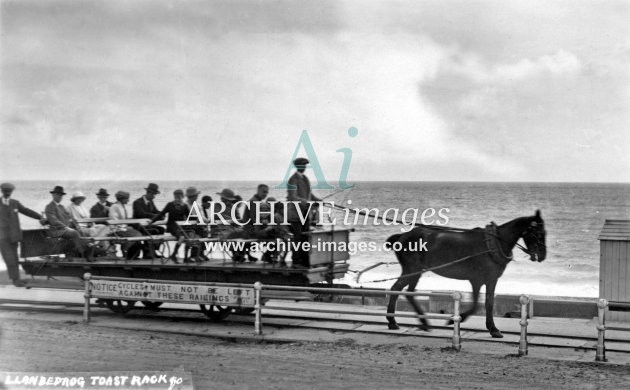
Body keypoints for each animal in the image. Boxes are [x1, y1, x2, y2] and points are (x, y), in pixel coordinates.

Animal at [386, 210, 548, 338]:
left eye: (544, 233)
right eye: (538, 234)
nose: (543, 256)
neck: (493, 244)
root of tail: (403, 236)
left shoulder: (490, 280)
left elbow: (488, 303)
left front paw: (492, 328)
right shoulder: (477, 280)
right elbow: (478, 305)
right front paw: (457, 319)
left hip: (416, 271)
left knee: (408, 292)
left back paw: (422, 322)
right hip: (412, 269)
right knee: (396, 289)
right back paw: (393, 321)